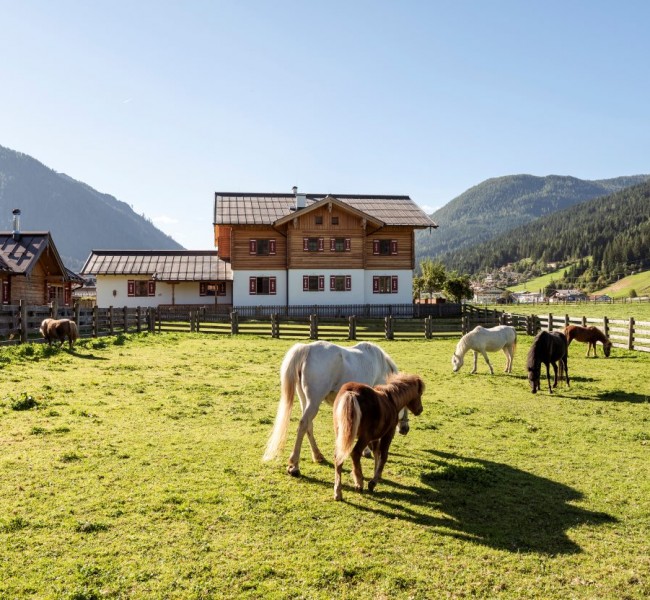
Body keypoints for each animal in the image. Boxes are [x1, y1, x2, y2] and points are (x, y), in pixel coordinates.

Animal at [263, 341, 401, 477]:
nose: (404, 429)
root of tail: (307, 348)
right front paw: (366, 451)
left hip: (305, 401)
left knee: (308, 425)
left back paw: (317, 455)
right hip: (314, 402)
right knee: (303, 425)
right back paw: (294, 466)